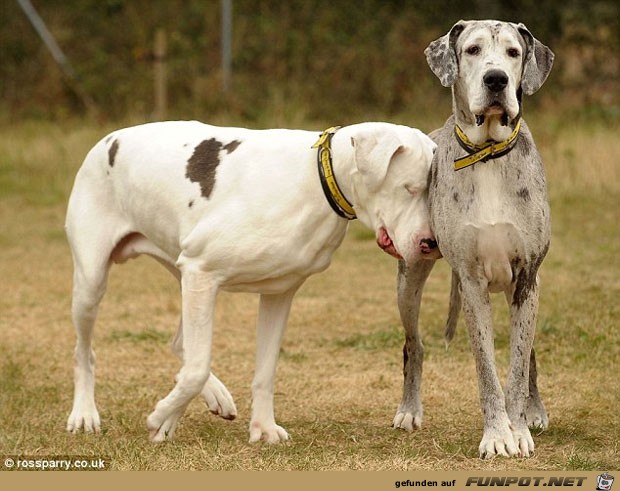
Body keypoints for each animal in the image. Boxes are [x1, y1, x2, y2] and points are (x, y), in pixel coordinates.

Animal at [65, 122, 438, 442]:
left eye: (431, 194)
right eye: (410, 189)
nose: (431, 244)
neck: (317, 179)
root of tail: (107, 139)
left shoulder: (277, 293)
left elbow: (264, 372)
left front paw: (262, 427)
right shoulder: (202, 273)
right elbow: (197, 368)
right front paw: (161, 417)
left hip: (181, 272)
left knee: (180, 342)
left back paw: (215, 396)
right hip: (93, 283)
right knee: (85, 353)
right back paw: (84, 413)